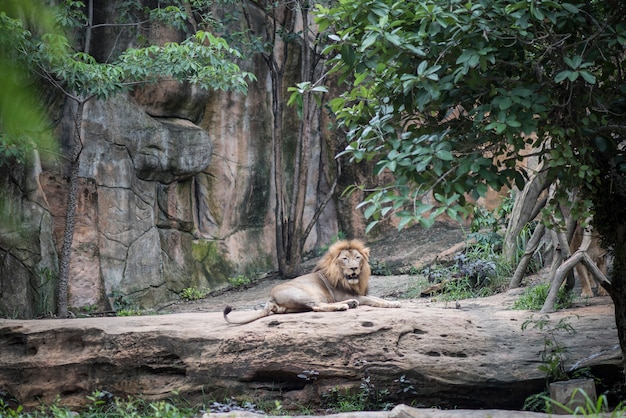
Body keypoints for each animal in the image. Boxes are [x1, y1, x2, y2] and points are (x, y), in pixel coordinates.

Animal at [223, 240, 400, 324]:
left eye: (357, 257)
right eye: (344, 259)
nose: (354, 268)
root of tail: (270, 299)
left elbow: (376, 297)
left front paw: (394, 302)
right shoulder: (344, 295)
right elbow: (373, 300)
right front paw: (392, 304)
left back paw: (351, 303)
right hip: (305, 294)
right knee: (317, 306)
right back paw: (344, 306)